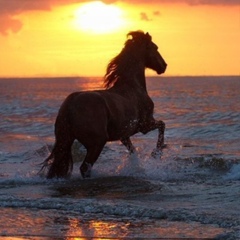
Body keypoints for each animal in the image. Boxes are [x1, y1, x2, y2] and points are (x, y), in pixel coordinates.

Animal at [40, 30, 167, 178]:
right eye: (155, 47)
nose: (164, 66)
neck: (133, 87)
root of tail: (69, 105)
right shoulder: (144, 125)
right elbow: (162, 125)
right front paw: (156, 153)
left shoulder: (124, 135)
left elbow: (132, 150)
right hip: (97, 143)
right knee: (85, 168)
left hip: (66, 140)